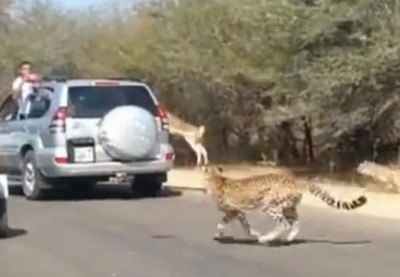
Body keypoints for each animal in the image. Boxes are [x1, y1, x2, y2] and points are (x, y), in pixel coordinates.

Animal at [202, 165, 368, 243]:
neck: (215, 179)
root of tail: (294, 179)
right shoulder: (234, 212)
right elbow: (225, 223)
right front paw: (219, 234)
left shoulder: (235, 211)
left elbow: (239, 225)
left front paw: (257, 235)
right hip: (289, 207)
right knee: (295, 223)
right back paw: (288, 239)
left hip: (270, 205)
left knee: (283, 224)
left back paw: (267, 238)